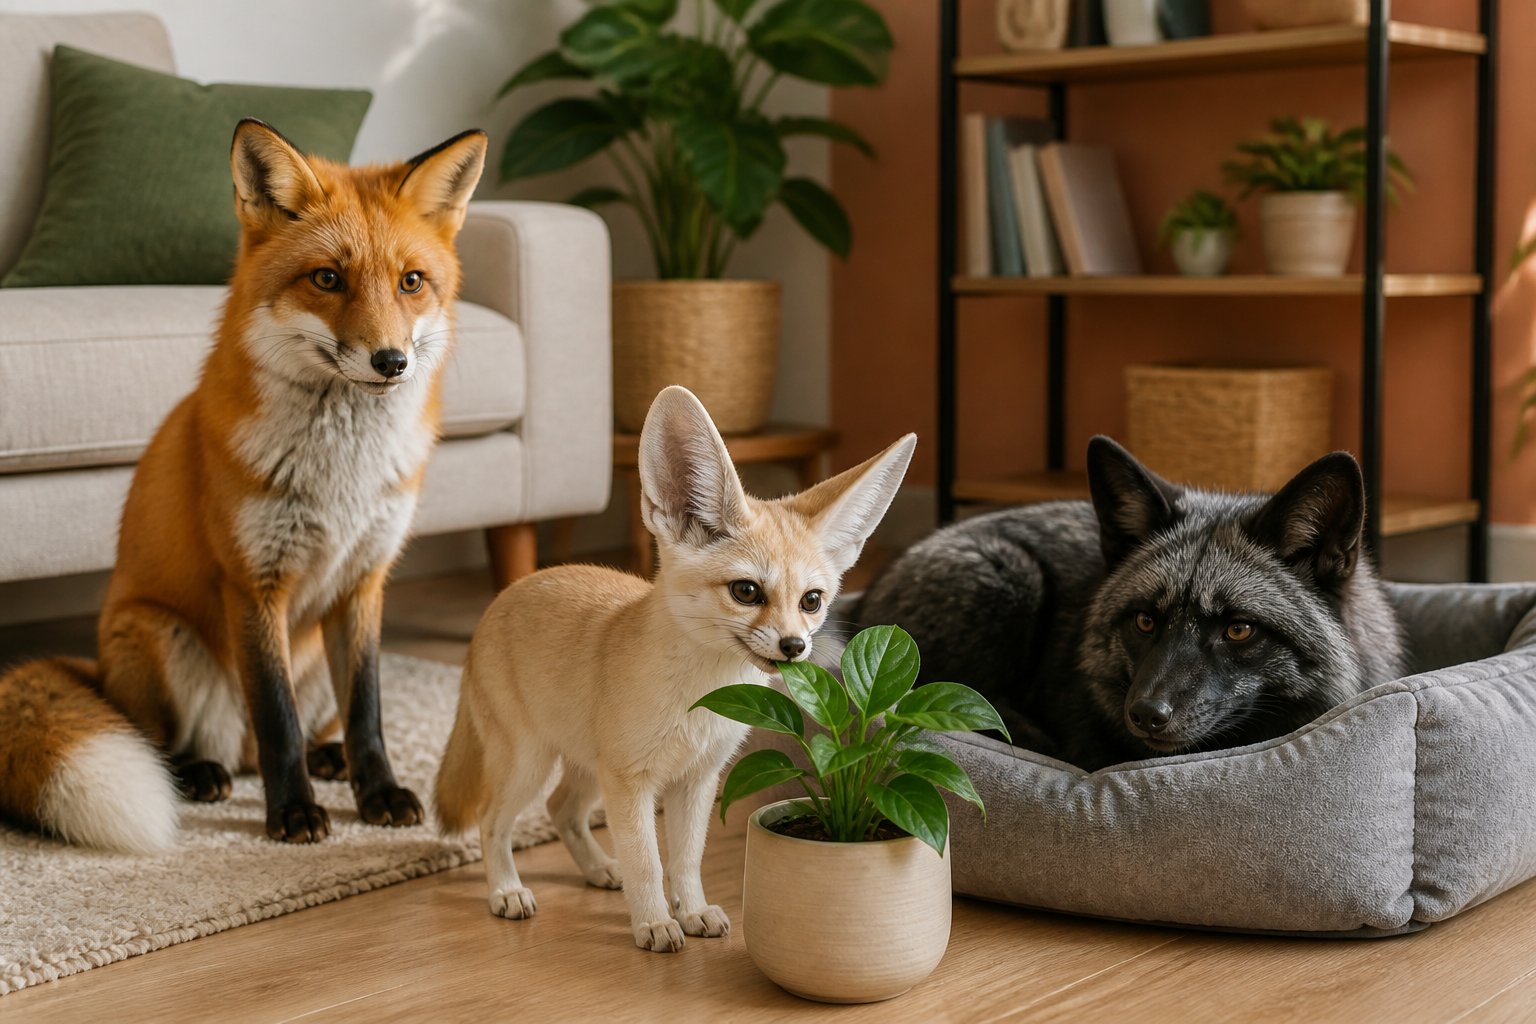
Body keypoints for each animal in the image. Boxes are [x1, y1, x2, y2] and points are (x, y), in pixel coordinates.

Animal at [0, 119, 488, 852]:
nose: (391, 361)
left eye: (411, 281)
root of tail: (97, 673)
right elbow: (275, 715)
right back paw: (200, 773)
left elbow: (368, 712)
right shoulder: (253, 581)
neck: (341, 474)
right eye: (327, 278)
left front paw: (377, 792)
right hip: (158, 636)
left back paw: (329, 759)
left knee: (282, 740)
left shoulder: (364, 582)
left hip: (314, 662)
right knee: (179, 742)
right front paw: (292, 814)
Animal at [435, 386, 915, 952]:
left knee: (561, 810)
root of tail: (505, 596)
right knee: (492, 822)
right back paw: (506, 889)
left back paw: (598, 869)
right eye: (746, 591)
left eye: (812, 601)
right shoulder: (633, 783)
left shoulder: (696, 780)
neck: (702, 697)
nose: (795, 646)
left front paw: (693, 910)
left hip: (587, 769)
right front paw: (653, 922)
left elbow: (685, 859)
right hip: (531, 764)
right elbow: (647, 863)